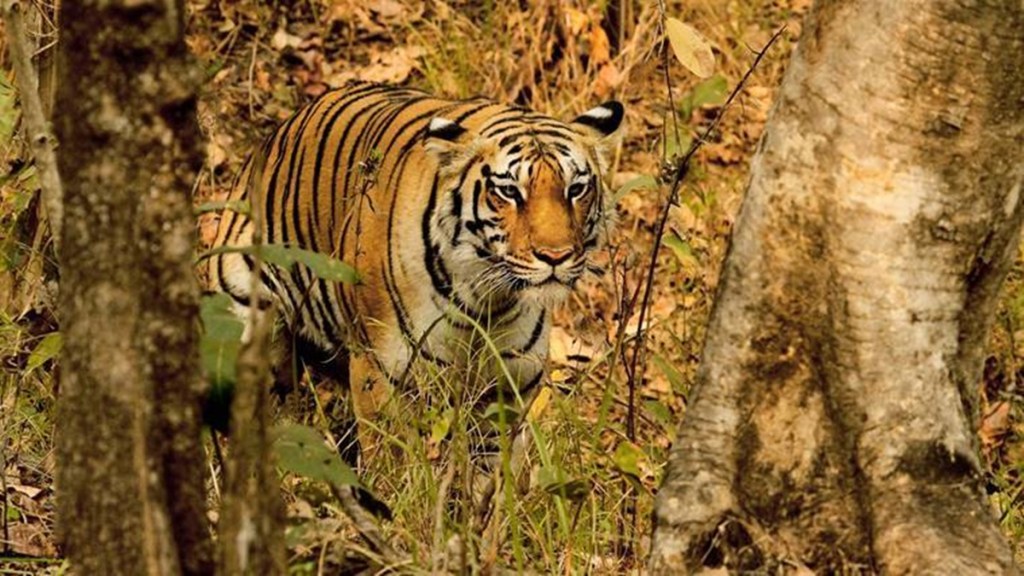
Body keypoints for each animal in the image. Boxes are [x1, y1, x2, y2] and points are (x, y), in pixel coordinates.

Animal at [206, 81, 623, 456]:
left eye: (576, 189)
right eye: (508, 191)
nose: (556, 256)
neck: (488, 301)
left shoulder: (507, 388)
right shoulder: (379, 373)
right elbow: (392, 460)